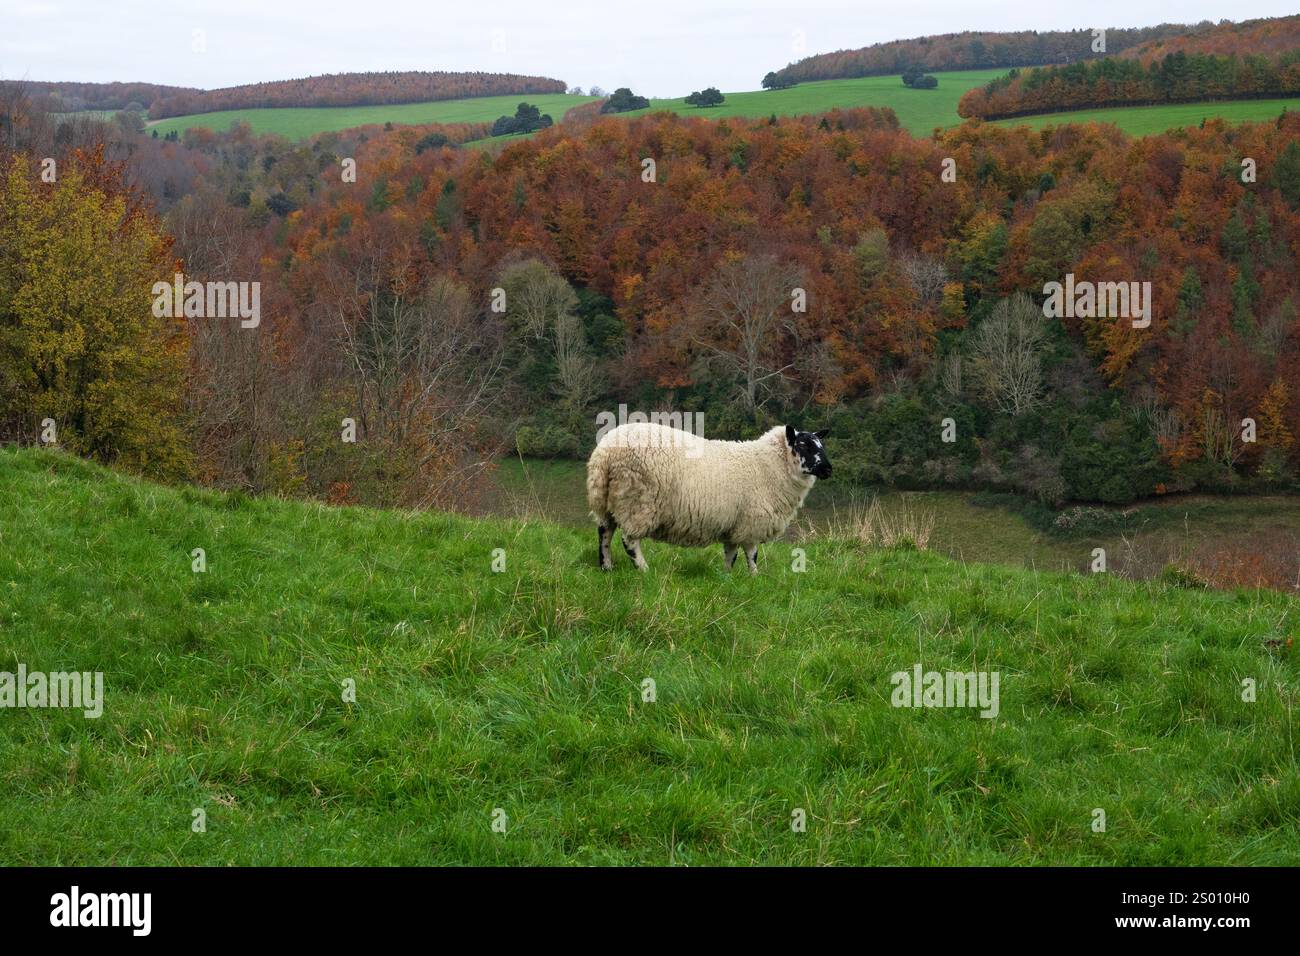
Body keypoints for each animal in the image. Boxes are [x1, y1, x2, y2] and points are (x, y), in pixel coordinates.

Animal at [585, 421, 826, 572]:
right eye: (803, 445)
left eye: (820, 445)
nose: (829, 469)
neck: (769, 464)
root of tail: (604, 453)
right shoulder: (752, 522)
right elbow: (751, 553)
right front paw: (754, 576)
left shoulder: (735, 523)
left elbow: (731, 553)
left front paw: (727, 576)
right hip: (637, 500)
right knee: (629, 540)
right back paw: (643, 569)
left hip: (608, 499)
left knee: (604, 532)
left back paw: (606, 567)